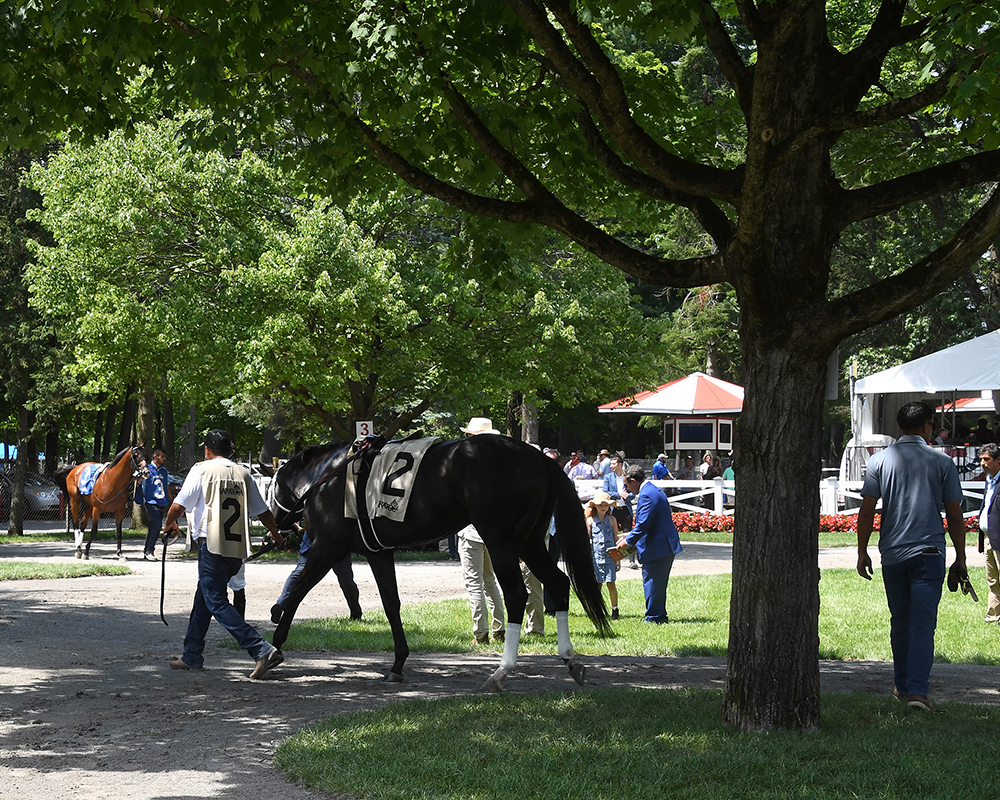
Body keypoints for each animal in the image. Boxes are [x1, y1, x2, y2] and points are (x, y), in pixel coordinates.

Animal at [270, 434, 608, 692]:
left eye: (272, 488)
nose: (278, 525)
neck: (332, 479)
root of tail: (539, 458)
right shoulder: (379, 553)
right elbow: (391, 604)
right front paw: (398, 663)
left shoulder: (327, 548)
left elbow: (297, 591)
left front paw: (275, 646)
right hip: (531, 542)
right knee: (558, 583)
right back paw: (570, 659)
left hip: (502, 543)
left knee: (515, 595)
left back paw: (501, 671)